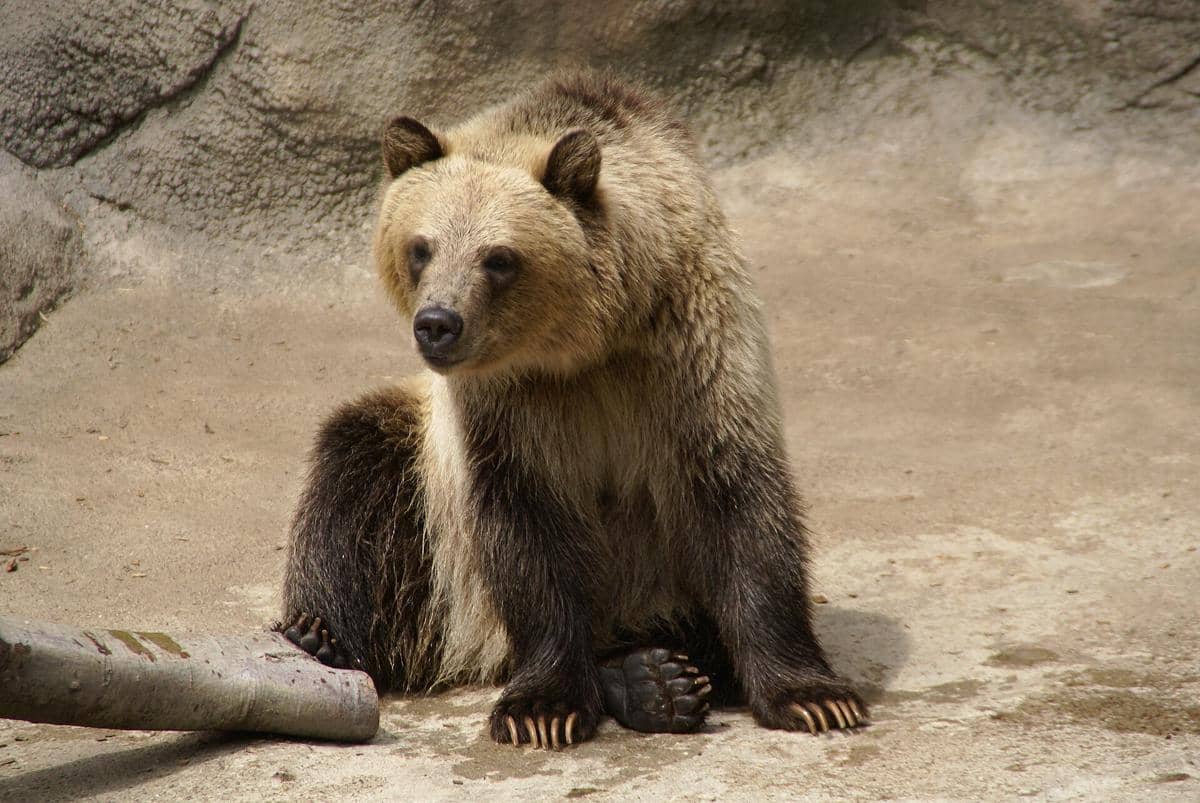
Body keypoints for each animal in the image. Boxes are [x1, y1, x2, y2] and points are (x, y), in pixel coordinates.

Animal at [279, 70, 865, 748]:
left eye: (498, 258)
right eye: (421, 247)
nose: (437, 324)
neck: (588, 345)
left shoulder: (690, 359)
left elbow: (738, 505)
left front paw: (814, 697)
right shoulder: (508, 409)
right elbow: (527, 530)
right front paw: (542, 707)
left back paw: (659, 680)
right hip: (431, 525)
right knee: (353, 479)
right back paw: (318, 635)